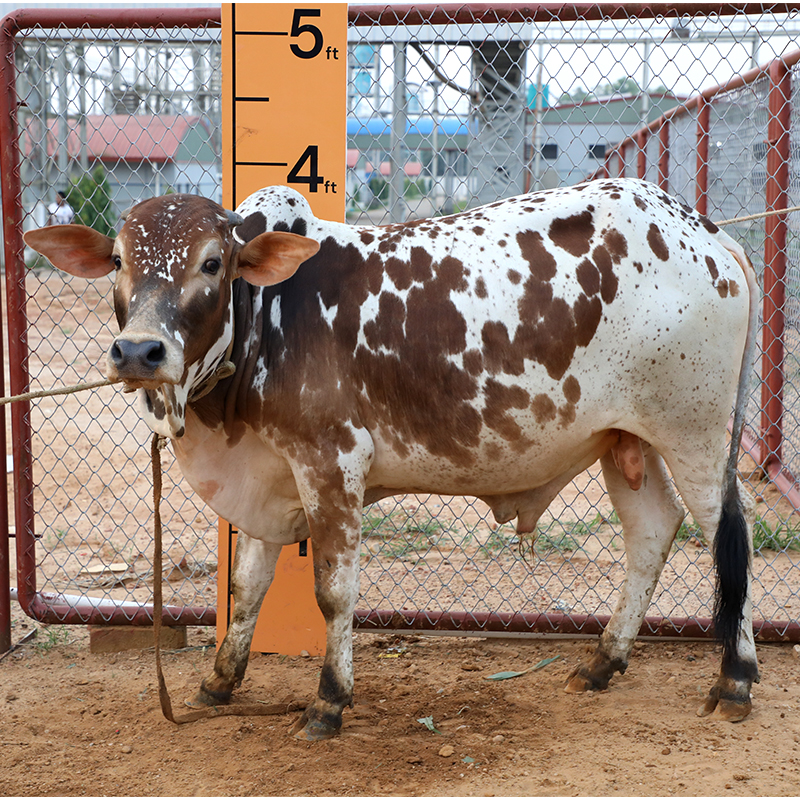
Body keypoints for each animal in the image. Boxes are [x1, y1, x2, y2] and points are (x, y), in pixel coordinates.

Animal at [24, 177, 759, 740]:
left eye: (211, 263)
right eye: (118, 262)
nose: (138, 351)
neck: (268, 316)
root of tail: (704, 229)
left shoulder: (332, 466)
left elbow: (333, 592)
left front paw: (328, 701)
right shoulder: (271, 477)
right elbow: (247, 588)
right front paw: (218, 682)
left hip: (693, 434)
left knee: (728, 538)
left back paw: (738, 679)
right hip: (625, 439)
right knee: (651, 533)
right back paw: (603, 662)